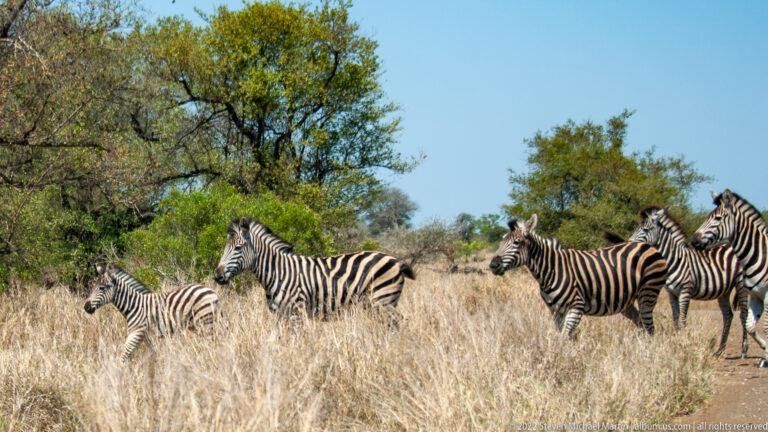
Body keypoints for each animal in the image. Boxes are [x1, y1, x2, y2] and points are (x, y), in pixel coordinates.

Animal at [84, 263, 220, 361]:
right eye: (93, 287)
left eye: (101, 288)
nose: (86, 307)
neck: (134, 306)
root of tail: (211, 291)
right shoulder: (147, 337)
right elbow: (154, 355)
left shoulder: (136, 333)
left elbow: (123, 357)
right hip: (199, 325)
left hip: (206, 323)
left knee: (212, 345)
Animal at [213, 217, 415, 323]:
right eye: (224, 248)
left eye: (238, 248)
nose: (217, 276)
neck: (278, 272)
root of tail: (397, 261)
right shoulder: (280, 315)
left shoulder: (297, 312)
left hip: (383, 301)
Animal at [489, 214, 668, 337]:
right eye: (501, 243)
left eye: (517, 243)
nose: (493, 265)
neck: (552, 270)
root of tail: (647, 245)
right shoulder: (556, 311)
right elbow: (565, 338)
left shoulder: (576, 307)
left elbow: (564, 338)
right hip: (626, 301)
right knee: (642, 324)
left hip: (648, 293)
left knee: (650, 327)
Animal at [623, 206, 748, 356]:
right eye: (637, 228)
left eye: (646, 229)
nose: (629, 244)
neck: (675, 260)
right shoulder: (672, 294)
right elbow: (676, 320)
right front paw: (677, 344)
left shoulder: (685, 291)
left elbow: (682, 320)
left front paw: (683, 344)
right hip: (724, 290)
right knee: (728, 315)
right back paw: (720, 350)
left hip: (741, 284)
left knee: (744, 314)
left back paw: (743, 350)